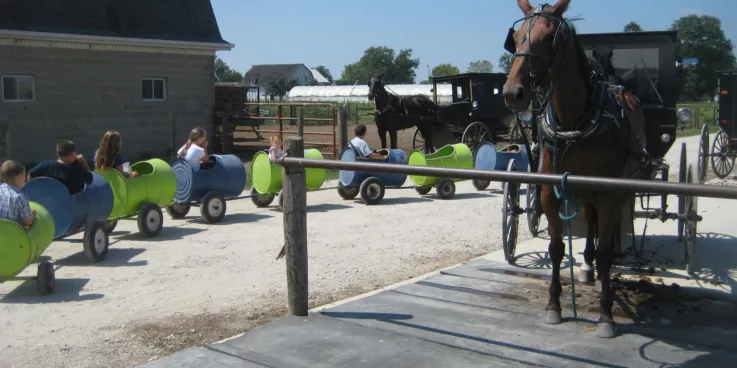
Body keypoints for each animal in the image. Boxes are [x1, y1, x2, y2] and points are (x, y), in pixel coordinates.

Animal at [500, 0, 648, 340]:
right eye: (516, 38)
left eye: (549, 36)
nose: (513, 92)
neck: (575, 123)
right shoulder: (550, 194)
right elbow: (556, 249)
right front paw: (554, 304)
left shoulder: (607, 194)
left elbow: (606, 251)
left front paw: (606, 314)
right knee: (591, 222)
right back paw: (587, 267)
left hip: (620, 189)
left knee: (614, 224)